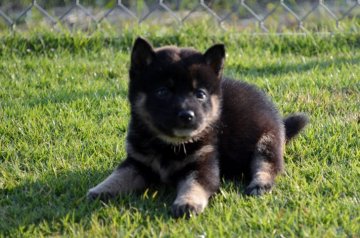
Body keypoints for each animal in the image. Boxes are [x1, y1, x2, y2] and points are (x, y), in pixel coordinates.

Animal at [88, 36, 310, 218]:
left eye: (200, 94)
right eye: (162, 92)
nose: (187, 116)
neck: (169, 145)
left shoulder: (203, 163)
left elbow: (194, 184)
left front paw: (188, 202)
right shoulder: (137, 162)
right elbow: (118, 175)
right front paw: (101, 189)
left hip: (266, 140)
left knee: (267, 165)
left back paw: (259, 184)